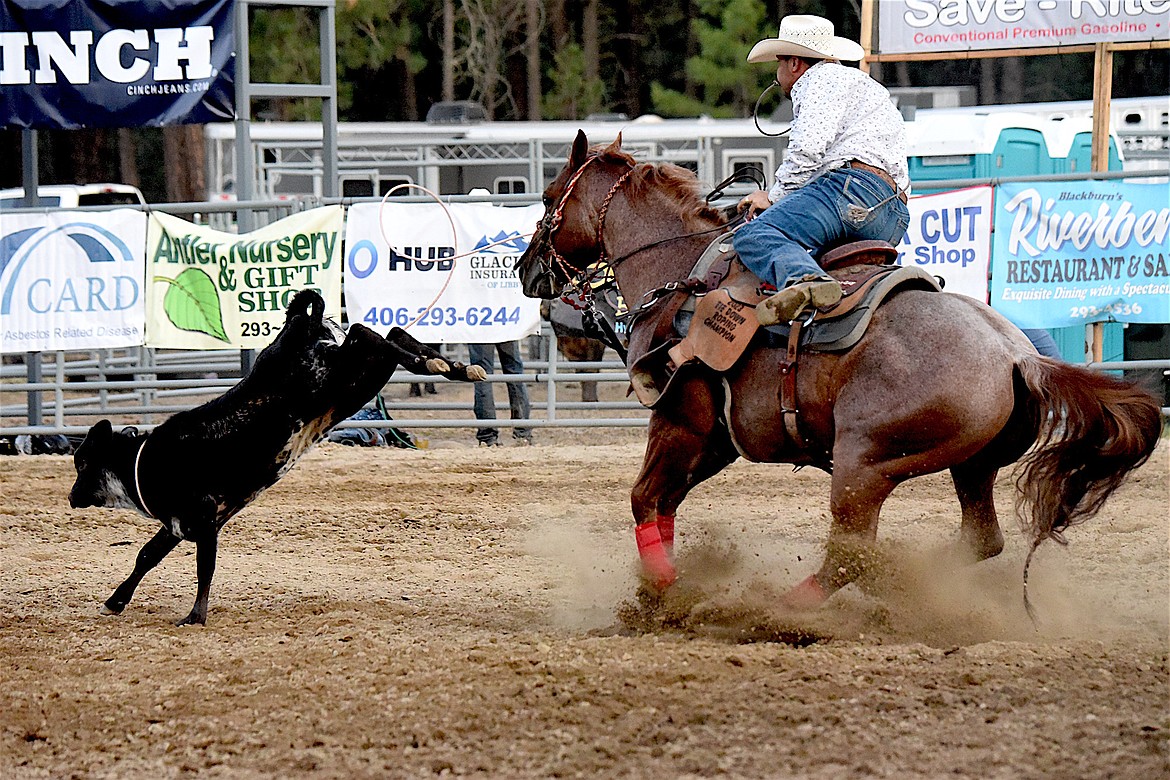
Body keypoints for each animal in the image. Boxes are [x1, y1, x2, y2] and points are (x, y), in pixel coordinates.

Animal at [519, 130, 1160, 612]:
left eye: (549, 198)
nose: (527, 272)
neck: (679, 276)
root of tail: (1015, 354)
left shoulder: (682, 423)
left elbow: (643, 498)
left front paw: (663, 592)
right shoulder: (718, 440)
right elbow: (663, 505)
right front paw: (658, 596)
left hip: (864, 464)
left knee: (852, 554)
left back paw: (774, 611)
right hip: (971, 465)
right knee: (979, 540)